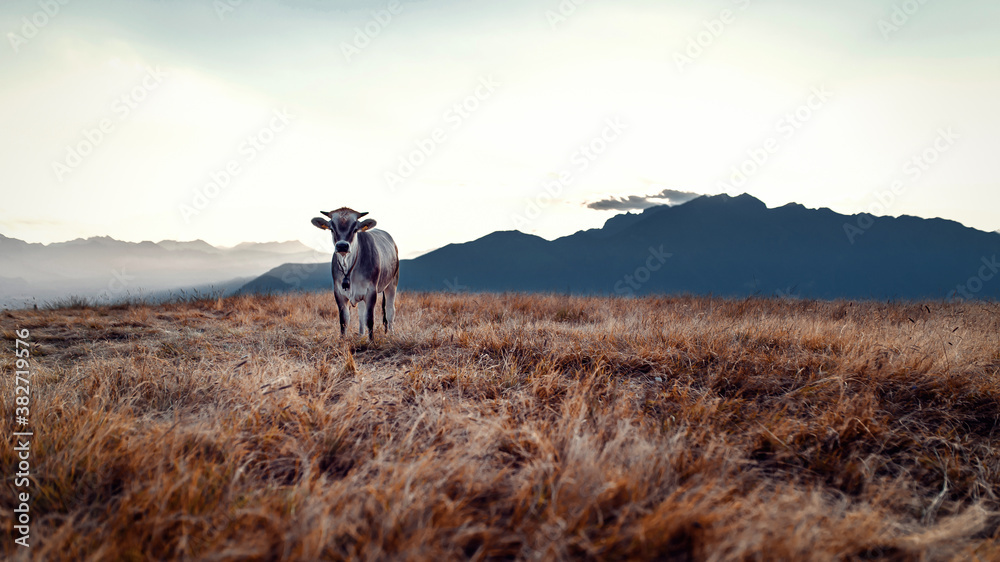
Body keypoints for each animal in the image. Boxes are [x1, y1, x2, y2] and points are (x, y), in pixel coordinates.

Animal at [308, 207, 398, 342]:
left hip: (392, 283)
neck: (349, 267)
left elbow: (369, 318)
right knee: (361, 312)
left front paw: (371, 341)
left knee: (389, 311)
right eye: (332, 228)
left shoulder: (371, 291)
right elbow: (344, 320)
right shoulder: (338, 292)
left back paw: (391, 335)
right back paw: (360, 335)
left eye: (355, 229)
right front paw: (342, 341)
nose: (342, 246)